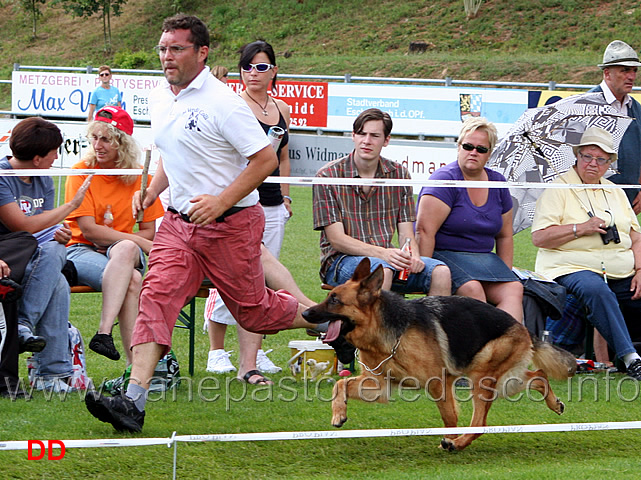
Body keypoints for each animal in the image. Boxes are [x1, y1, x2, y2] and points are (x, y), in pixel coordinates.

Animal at [302, 258, 576, 450]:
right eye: (329, 296)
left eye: (335, 301)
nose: (304, 314)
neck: (387, 333)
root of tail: (522, 326)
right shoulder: (379, 387)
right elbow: (340, 384)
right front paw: (339, 413)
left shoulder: (439, 383)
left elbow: (449, 416)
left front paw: (449, 439)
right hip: (504, 381)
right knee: (538, 375)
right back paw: (555, 403)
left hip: (482, 378)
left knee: (480, 425)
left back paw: (458, 444)